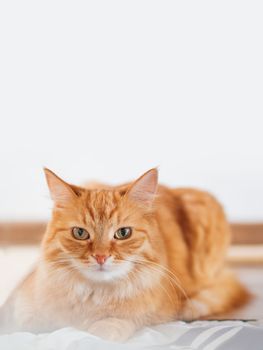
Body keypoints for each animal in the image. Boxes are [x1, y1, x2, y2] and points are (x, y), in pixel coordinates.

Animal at [1, 168, 250, 340]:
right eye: (80, 233)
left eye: (123, 233)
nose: (101, 257)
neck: (94, 296)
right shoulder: (23, 313)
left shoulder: (142, 314)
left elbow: (111, 326)